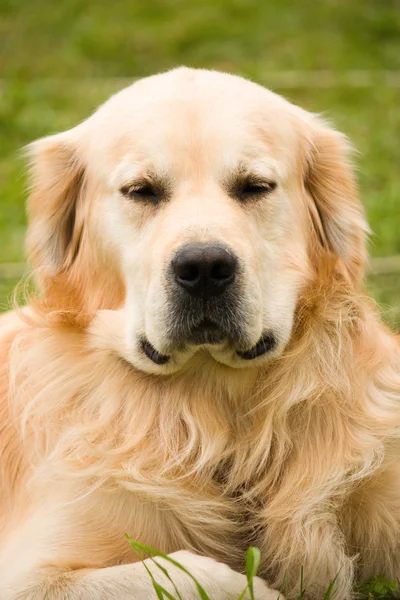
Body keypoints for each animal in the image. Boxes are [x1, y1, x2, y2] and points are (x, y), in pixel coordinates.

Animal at [0, 68, 400, 596]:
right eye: (141, 190)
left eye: (255, 186)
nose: (205, 266)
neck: (217, 414)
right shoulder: (30, 575)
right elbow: (197, 571)